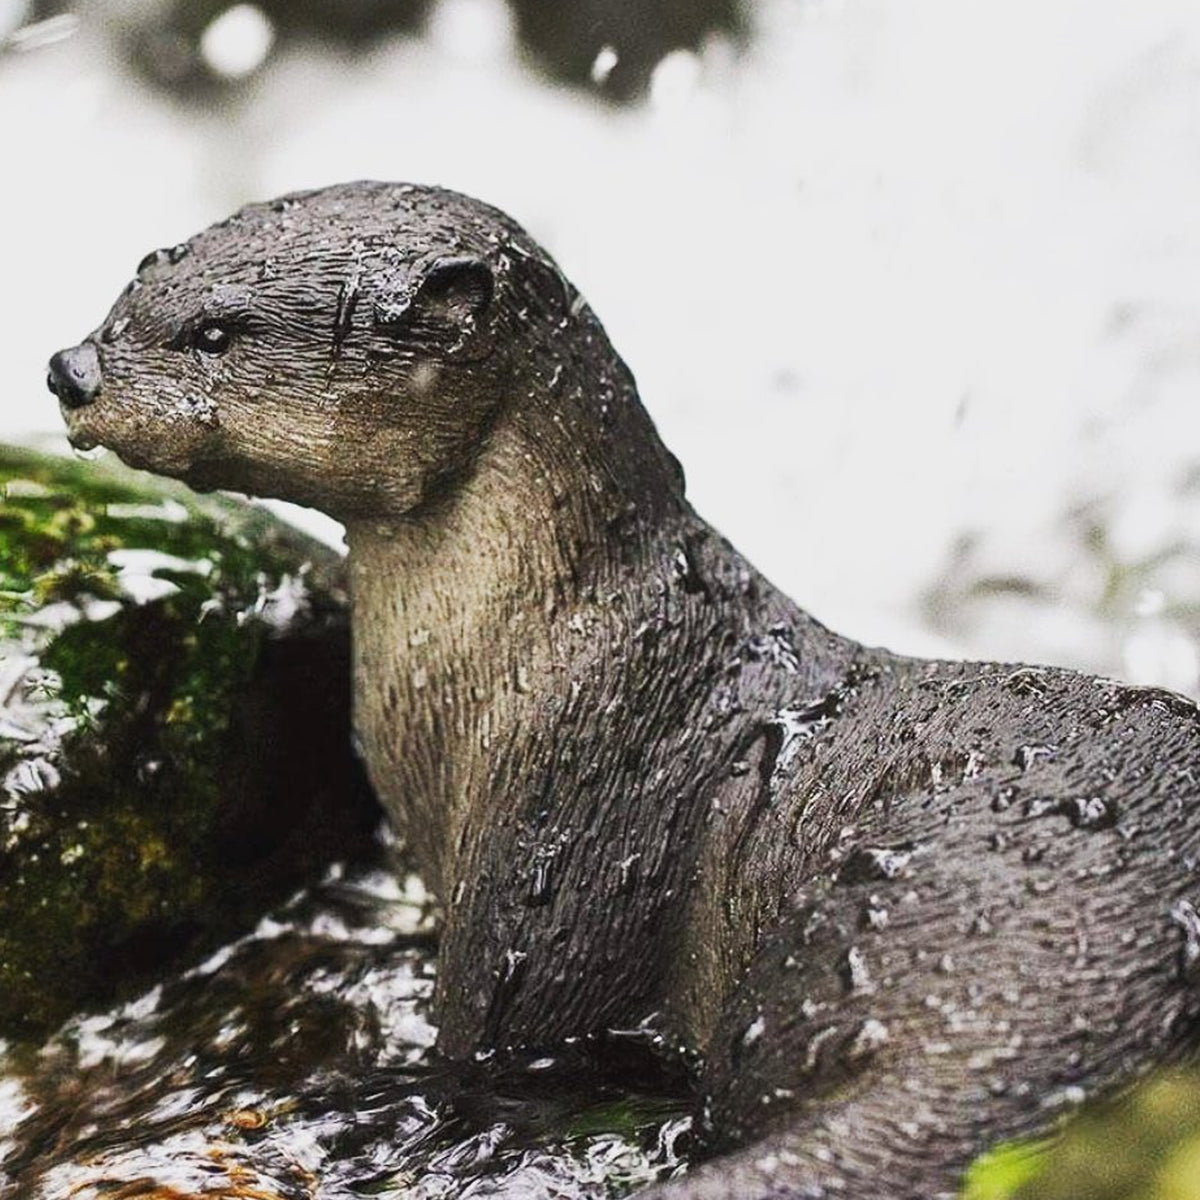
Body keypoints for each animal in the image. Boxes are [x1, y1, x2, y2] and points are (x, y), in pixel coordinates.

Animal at [47, 182, 1200, 1199]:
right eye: (144, 273)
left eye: (217, 333)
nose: (69, 367)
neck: (548, 647)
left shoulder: (570, 814)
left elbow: (499, 1032)